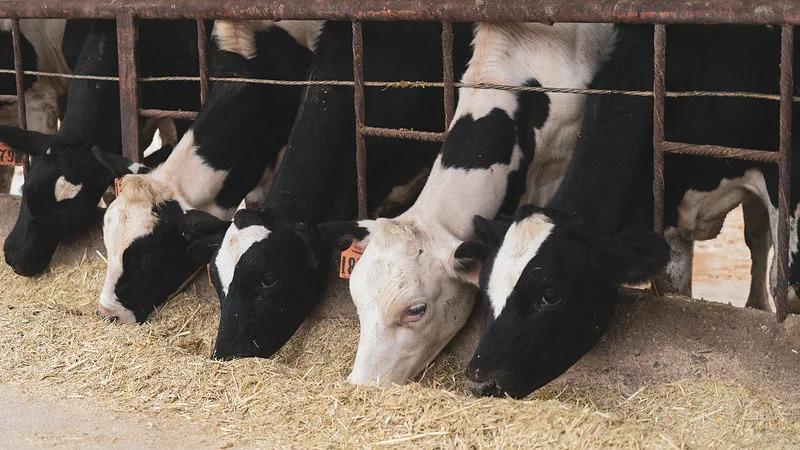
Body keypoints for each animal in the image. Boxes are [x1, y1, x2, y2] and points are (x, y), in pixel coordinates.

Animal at [454, 24, 799, 399]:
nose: (480, 378)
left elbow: (784, 284)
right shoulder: (667, 206)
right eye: (485, 289)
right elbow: (675, 285)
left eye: (551, 295)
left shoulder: (780, 173)